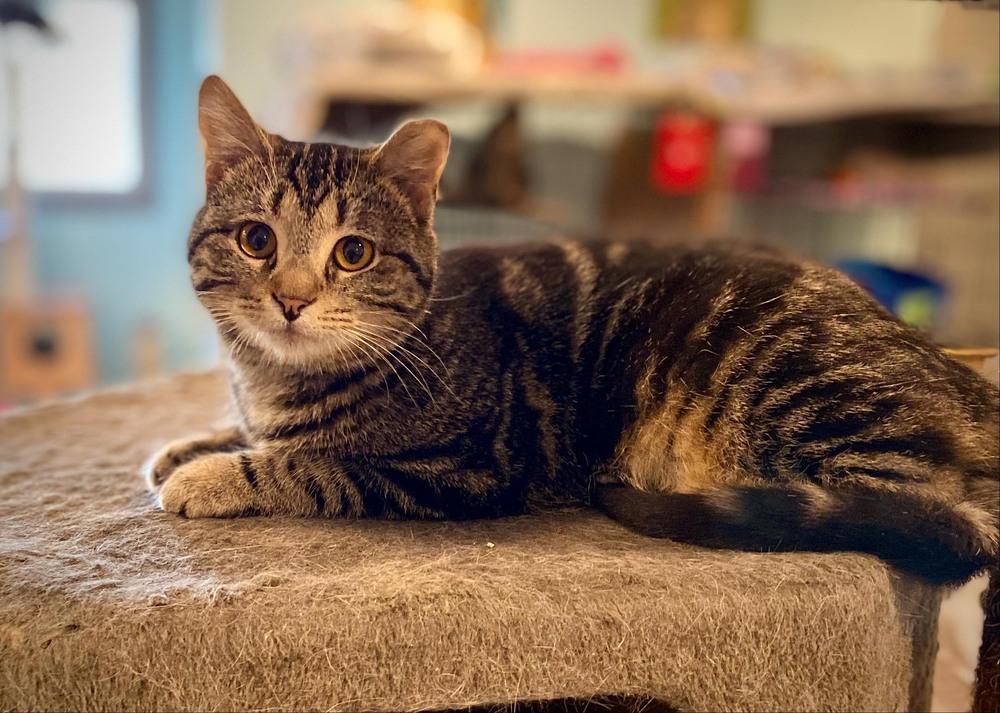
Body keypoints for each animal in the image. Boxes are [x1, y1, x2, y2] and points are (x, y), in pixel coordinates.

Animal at [145, 75, 996, 708]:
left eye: (352, 253)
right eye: (257, 239)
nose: (291, 300)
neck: (279, 378)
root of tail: (949, 365)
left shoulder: (463, 468)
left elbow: (311, 463)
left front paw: (211, 474)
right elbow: (254, 432)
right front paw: (189, 443)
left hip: (789, 393)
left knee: (919, 515)